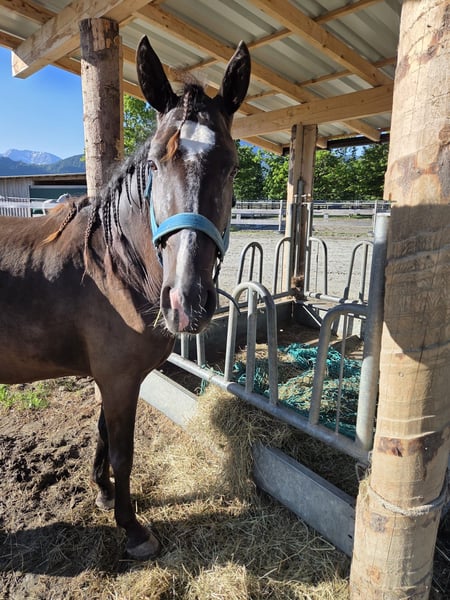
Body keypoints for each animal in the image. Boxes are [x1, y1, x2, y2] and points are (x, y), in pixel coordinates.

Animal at [0, 36, 251, 560]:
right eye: (155, 162)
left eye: (232, 165)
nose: (187, 303)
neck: (111, 267)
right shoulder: (118, 379)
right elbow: (122, 451)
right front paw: (132, 527)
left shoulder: (108, 377)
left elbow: (100, 436)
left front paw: (102, 493)